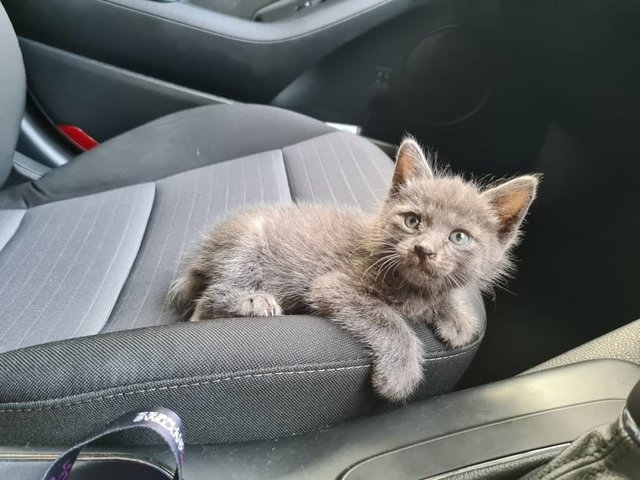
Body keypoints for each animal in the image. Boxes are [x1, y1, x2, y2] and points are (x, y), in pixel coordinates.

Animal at [171, 138, 540, 402]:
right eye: (412, 221)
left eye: (459, 237)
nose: (424, 250)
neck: (409, 286)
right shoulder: (334, 285)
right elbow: (386, 317)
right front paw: (400, 373)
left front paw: (456, 317)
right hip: (248, 246)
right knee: (203, 306)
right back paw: (253, 301)